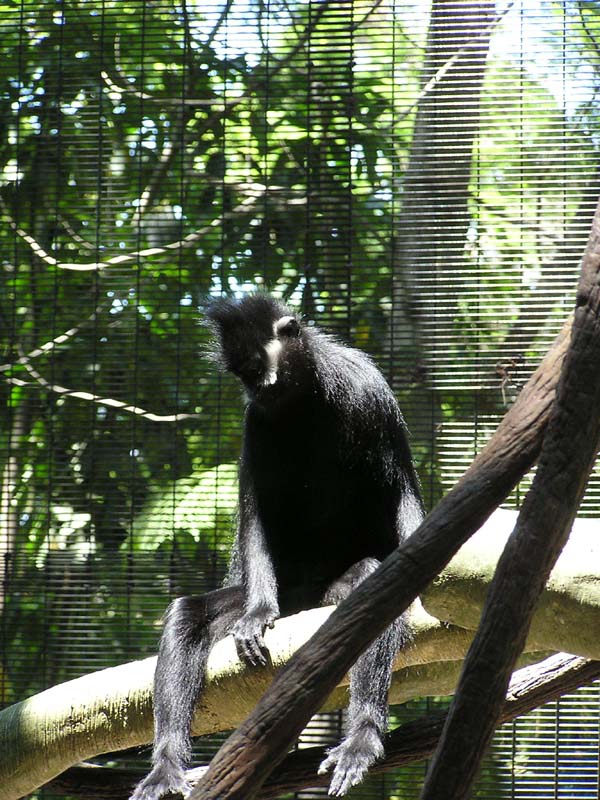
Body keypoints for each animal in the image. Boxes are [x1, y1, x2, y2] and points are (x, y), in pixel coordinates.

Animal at [131, 293, 424, 799]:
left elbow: (401, 492)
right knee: (187, 613)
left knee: (372, 582)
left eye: (254, 365)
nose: (255, 388)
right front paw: (256, 615)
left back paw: (362, 738)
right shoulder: (258, 422)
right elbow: (256, 517)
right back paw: (166, 767)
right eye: (240, 375)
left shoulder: (369, 392)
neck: (307, 398)